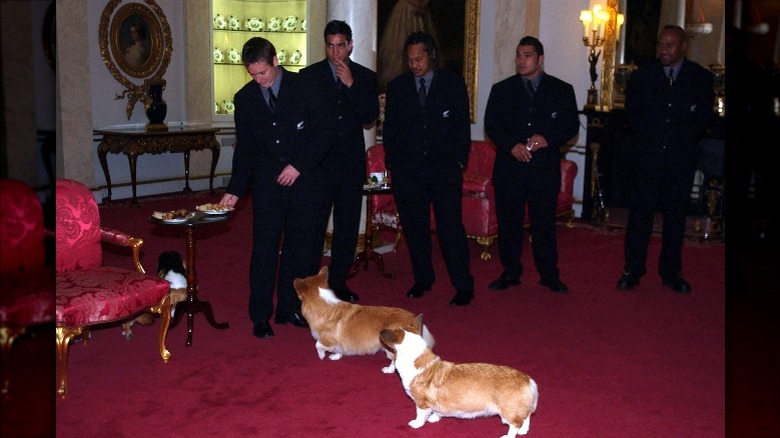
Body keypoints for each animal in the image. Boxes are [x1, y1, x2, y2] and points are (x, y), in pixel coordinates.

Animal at [294, 264, 436, 372]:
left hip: (391, 347)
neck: (323, 303)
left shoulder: (327, 339)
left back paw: (389, 370)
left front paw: (321, 355)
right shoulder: (339, 342)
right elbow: (339, 349)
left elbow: (318, 345)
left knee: (395, 360)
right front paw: (335, 356)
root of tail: (415, 322)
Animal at [380, 316, 540, 436]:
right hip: (522, 408)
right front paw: (434, 418)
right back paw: (524, 431)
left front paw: (416, 424)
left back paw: (508, 435)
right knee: (527, 417)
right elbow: (438, 412)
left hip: (508, 412)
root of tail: (528, 381)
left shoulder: (421, 403)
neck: (418, 360)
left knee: (515, 424)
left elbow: (420, 415)